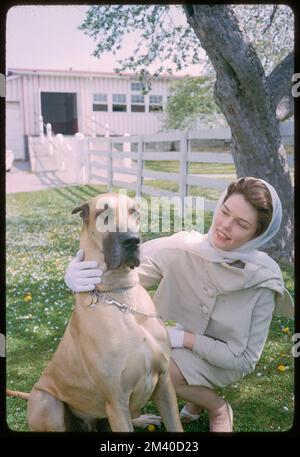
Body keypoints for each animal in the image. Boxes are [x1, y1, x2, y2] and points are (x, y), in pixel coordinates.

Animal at [28, 192, 183, 432]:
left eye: (134, 212)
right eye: (104, 214)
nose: (132, 240)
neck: (119, 293)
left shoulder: (165, 383)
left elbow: (175, 424)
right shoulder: (116, 401)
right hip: (46, 400)